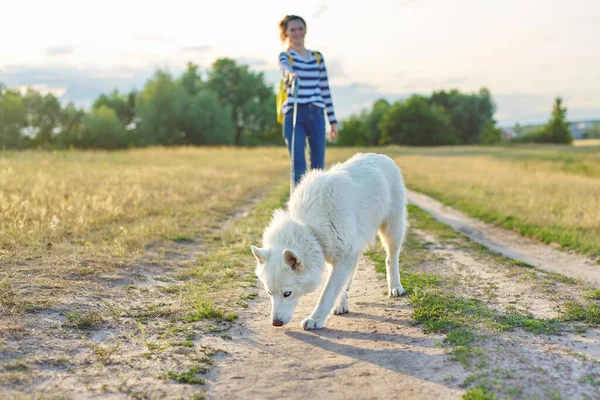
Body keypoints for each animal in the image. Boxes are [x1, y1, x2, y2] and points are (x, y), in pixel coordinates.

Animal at [248, 152, 408, 330]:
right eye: (269, 293)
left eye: (287, 293)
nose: (276, 323)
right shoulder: (338, 256)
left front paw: (315, 319)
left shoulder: (342, 257)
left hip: (392, 230)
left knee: (391, 259)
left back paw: (395, 287)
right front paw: (340, 304)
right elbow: (337, 286)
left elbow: (327, 293)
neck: (309, 226)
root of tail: (383, 157)